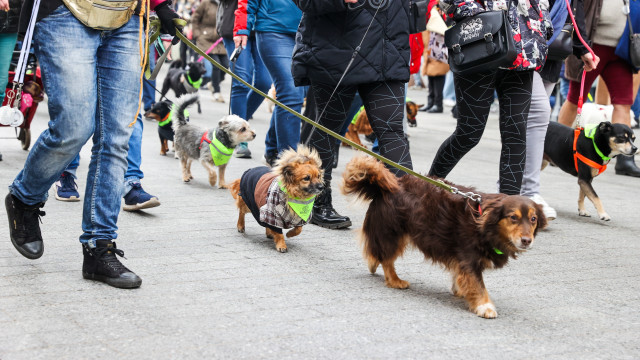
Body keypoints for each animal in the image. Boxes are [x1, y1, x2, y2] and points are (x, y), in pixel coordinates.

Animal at [342, 157, 548, 318]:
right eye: (513, 217)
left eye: (533, 219)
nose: (527, 241)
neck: (483, 223)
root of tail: (387, 187)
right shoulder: (469, 258)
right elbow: (478, 284)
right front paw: (485, 306)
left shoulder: (462, 260)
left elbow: (462, 277)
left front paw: (462, 291)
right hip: (393, 233)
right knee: (386, 258)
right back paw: (394, 279)